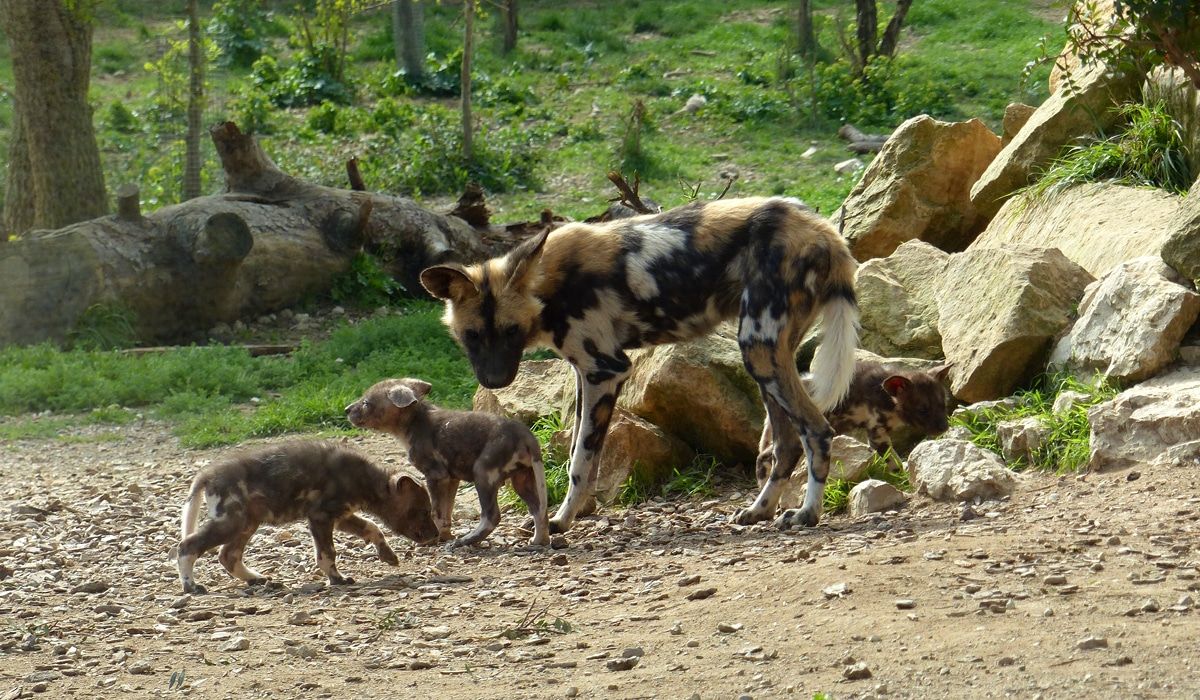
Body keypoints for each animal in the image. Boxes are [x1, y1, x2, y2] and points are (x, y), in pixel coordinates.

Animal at [175, 441, 439, 595]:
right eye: (424, 511)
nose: (436, 535)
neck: (366, 481)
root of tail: (208, 474)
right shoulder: (321, 516)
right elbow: (327, 554)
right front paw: (337, 580)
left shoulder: (341, 516)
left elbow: (374, 528)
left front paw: (388, 555)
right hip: (232, 522)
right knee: (186, 546)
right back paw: (191, 586)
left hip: (247, 523)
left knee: (228, 556)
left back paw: (257, 580)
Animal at [345, 377, 549, 547]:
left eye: (366, 403)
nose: (346, 409)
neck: (413, 422)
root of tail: (526, 436)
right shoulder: (451, 479)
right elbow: (447, 512)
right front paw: (444, 536)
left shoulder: (436, 475)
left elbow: (436, 511)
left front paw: (432, 539)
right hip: (523, 478)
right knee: (539, 510)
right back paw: (538, 541)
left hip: (483, 472)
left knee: (492, 516)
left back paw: (466, 541)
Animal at [422, 194, 864, 533]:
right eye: (472, 335)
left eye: (511, 331)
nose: (495, 380)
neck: (547, 284)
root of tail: (823, 229)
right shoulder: (585, 374)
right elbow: (580, 451)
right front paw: (577, 512)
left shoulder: (605, 370)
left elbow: (580, 460)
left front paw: (561, 521)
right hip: (767, 357)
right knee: (786, 444)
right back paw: (760, 511)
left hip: (758, 347)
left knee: (816, 431)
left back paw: (807, 514)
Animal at [753, 362, 950, 487]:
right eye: (922, 410)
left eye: (943, 404)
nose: (944, 427)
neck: (887, 396)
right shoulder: (877, 435)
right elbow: (894, 462)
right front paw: (902, 478)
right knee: (763, 457)